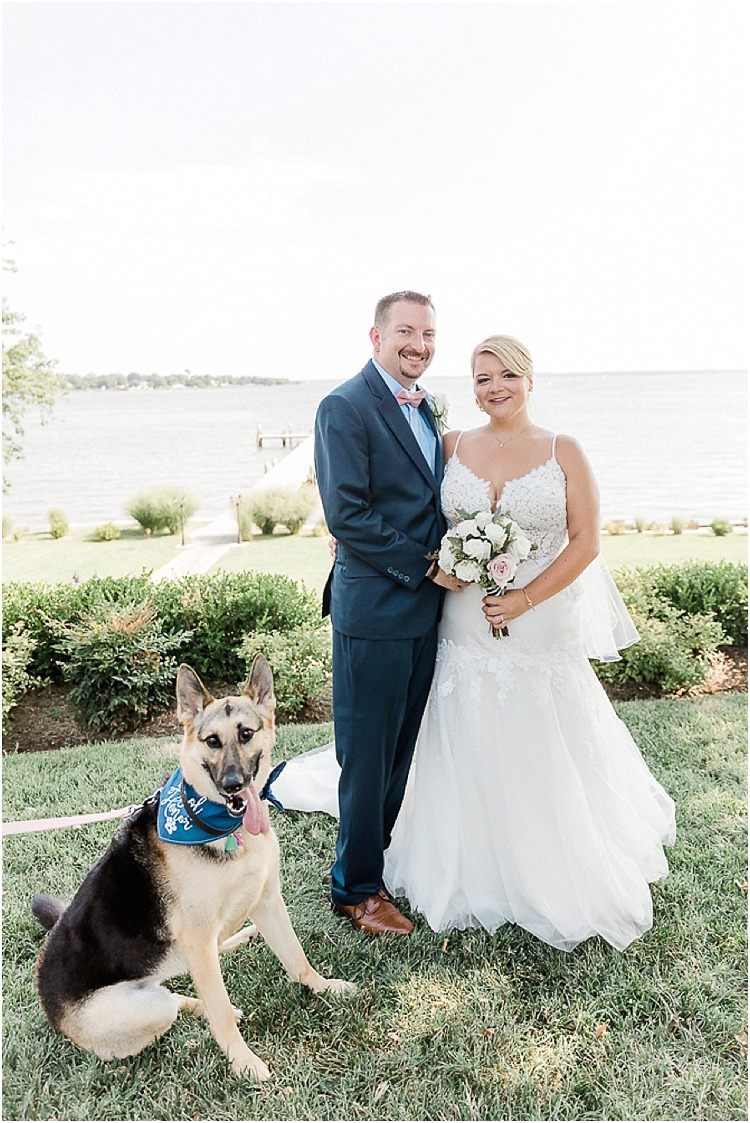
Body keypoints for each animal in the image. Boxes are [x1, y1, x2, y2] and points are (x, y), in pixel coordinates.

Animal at [30, 655, 352, 1078]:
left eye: (246, 733)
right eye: (212, 741)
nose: (232, 784)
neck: (221, 827)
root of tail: (50, 1008)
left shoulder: (268, 903)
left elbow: (297, 959)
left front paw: (324, 987)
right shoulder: (198, 938)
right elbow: (220, 1013)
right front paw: (243, 1062)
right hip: (149, 1007)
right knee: (178, 1000)